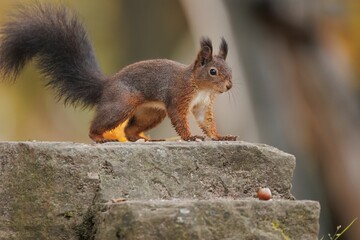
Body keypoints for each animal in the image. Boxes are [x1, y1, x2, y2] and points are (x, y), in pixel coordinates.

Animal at [0, 3, 236, 142]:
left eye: (230, 70)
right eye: (213, 71)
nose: (229, 86)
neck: (200, 87)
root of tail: (107, 84)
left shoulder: (202, 105)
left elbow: (206, 122)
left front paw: (221, 136)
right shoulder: (178, 96)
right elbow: (179, 118)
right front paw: (189, 137)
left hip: (150, 112)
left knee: (129, 131)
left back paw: (146, 139)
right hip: (121, 104)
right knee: (102, 123)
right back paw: (99, 137)